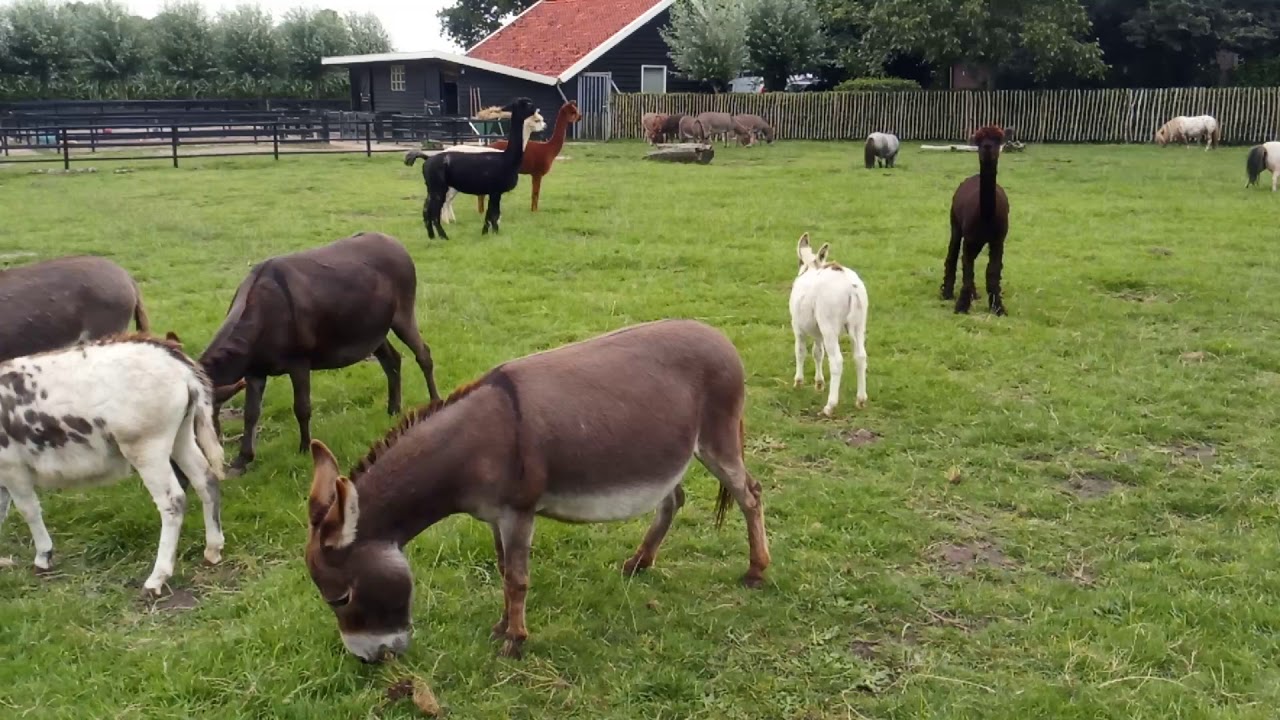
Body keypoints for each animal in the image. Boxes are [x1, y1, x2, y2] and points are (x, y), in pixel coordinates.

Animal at [0, 334, 225, 595]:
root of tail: (174, 358)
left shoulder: (12, 469)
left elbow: (29, 511)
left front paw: (43, 557)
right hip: (182, 435)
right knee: (205, 480)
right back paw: (213, 549)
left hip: (147, 447)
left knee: (173, 501)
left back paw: (157, 577)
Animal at [196, 231, 441, 475]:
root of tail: (396, 243)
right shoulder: (255, 371)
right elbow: (250, 414)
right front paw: (243, 459)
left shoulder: (299, 362)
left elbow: (302, 408)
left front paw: (305, 448)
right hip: (374, 330)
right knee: (392, 360)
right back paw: (393, 409)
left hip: (403, 313)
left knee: (423, 354)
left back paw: (435, 401)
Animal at [302, 319, 771, 662]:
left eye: (341, 598)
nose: (369, 660)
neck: (475, 444)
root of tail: (717, 335)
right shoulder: (494, 517)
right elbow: (502, 567)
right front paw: (501, 627)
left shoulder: (518, 512)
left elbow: (517, 578)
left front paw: (515, 640)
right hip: (668, 454)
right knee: (674, 499)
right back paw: (640, 562)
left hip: (716, 440)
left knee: (750, 494)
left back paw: (756, 571)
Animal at [789, 234, 869, 416]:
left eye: (798, 261)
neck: (811, 268)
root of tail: (851, 287)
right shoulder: (817, 332)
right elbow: (818, 353)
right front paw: (819, 384)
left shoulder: (797, 327)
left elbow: (800, 351)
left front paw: (798, 382)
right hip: (859, 324)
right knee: (860, 356)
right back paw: (861, 400)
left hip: (829, 324)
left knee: (837, 361)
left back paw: (829, 406)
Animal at [942, 126, 1010, 316]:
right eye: (979, 140)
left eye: (998, 139)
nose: (987, 147)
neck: (987, 216)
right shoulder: (970, 238)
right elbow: (967, 269)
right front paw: (961, 306)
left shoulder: (998, 240)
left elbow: (993, 272)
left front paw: (998, 307)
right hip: (956, 224)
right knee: (953, 253)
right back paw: (947, 292)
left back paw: (973, 293)